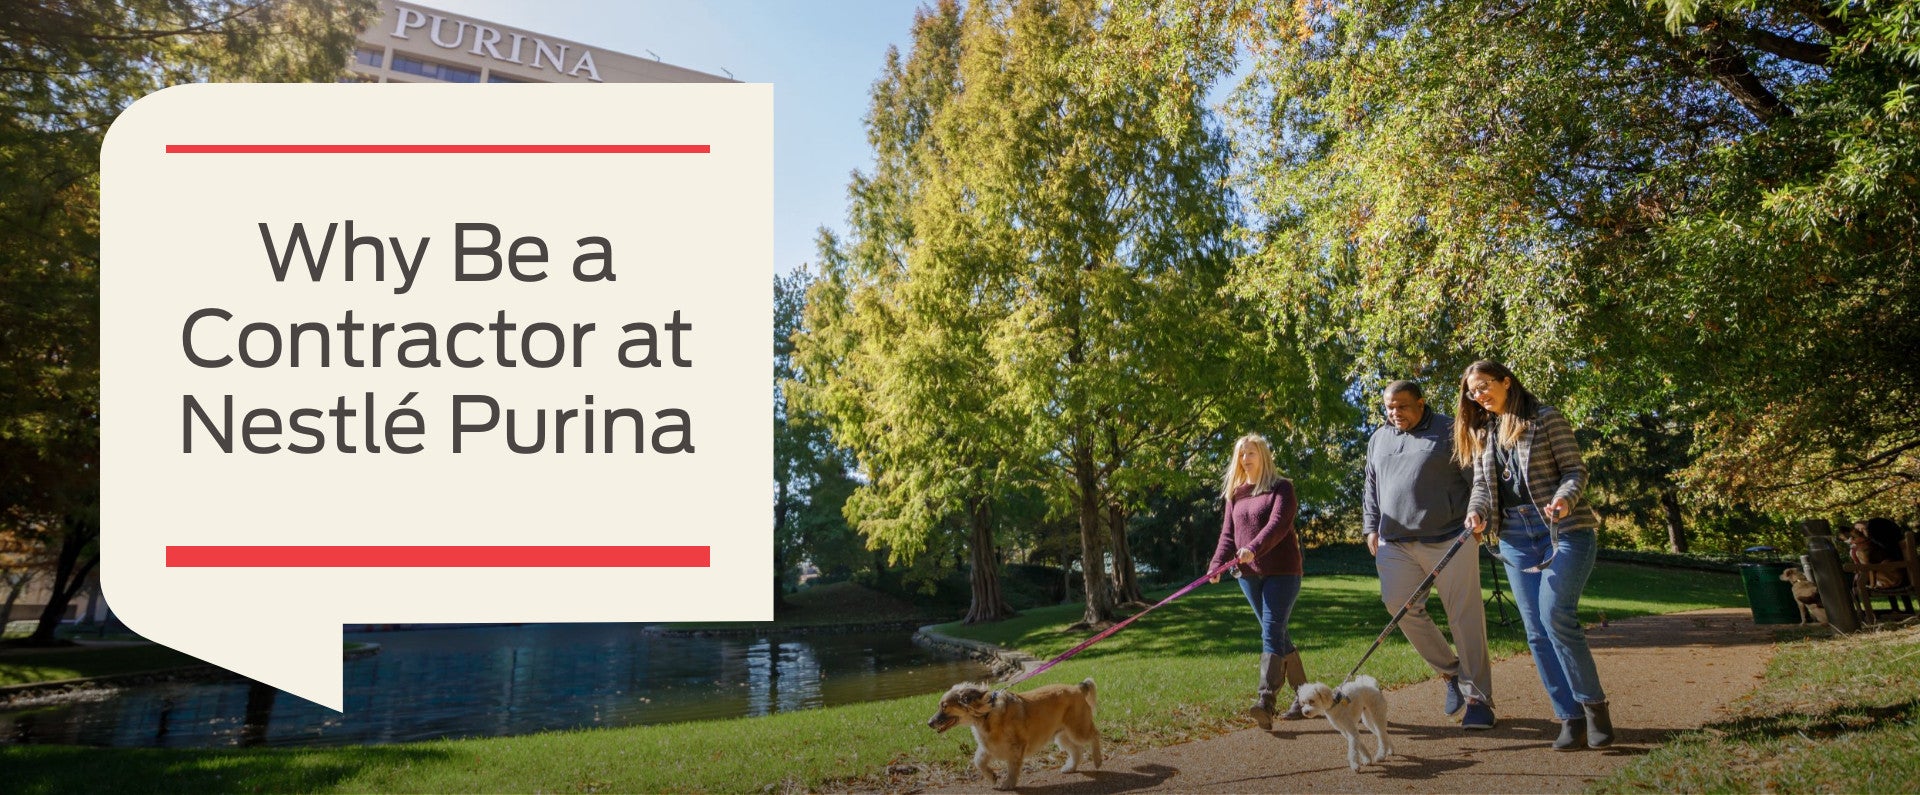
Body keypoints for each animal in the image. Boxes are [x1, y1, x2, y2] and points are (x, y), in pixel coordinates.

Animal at [925, 675, 1105, 787]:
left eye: (944, 706)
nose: (929, 723)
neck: (987, 715)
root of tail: (1078, 688)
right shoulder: (988, 747)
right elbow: (978, 762)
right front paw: (992, 777)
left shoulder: (1016, 747)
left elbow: (1012, 768)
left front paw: (1008, 784)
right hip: (1062, 735)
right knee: (1076, 750)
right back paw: (1071, 767)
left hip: (1078, 729)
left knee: (1095, 735)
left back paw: (1097, 760)